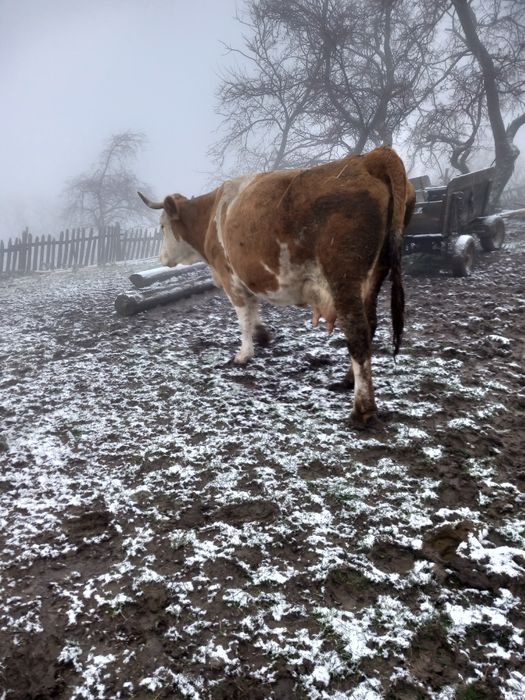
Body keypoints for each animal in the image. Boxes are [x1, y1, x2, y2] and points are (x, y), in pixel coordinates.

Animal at [139, 146, 415, 425]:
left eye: (162, 226)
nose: (162, 259)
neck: (210, 215)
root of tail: (371, 158)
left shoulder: (230, 278)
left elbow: (243, 317)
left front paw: (244, 354)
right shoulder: (248, 276)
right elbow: (254, 310)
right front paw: (262, 334)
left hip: (344, 278)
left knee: (357, 332)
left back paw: (362, 409)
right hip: (375, 276)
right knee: (370, 324)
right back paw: (348, 381)